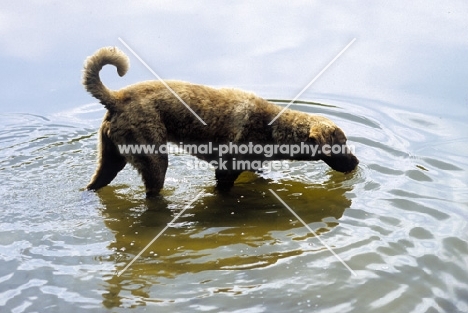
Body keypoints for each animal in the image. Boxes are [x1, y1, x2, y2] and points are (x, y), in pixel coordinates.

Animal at [82, 46, 358, 196]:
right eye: (341, 143)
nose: (356, 162)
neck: (273, 128)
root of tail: (116, 98)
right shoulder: (226, 171)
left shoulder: (251, 166)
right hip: (153, 160)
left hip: (111, 158)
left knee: (94, 185)